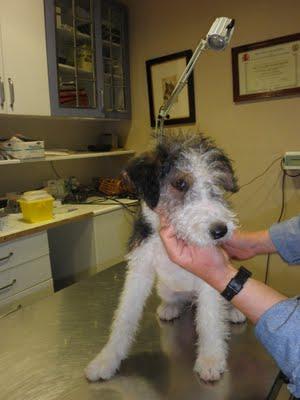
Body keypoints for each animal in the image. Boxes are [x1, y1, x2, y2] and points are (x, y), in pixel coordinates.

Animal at [85, 131, 246, 382]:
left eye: (217, 184)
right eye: (180, 183)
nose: (220, 231)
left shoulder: (211, 276)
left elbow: (209, 320)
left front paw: (211, 359)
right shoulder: (139, 270)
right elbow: (124, 316)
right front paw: (106, 359)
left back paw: (234, 312)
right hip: (165, 287)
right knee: (176, 300)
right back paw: (169, 308)